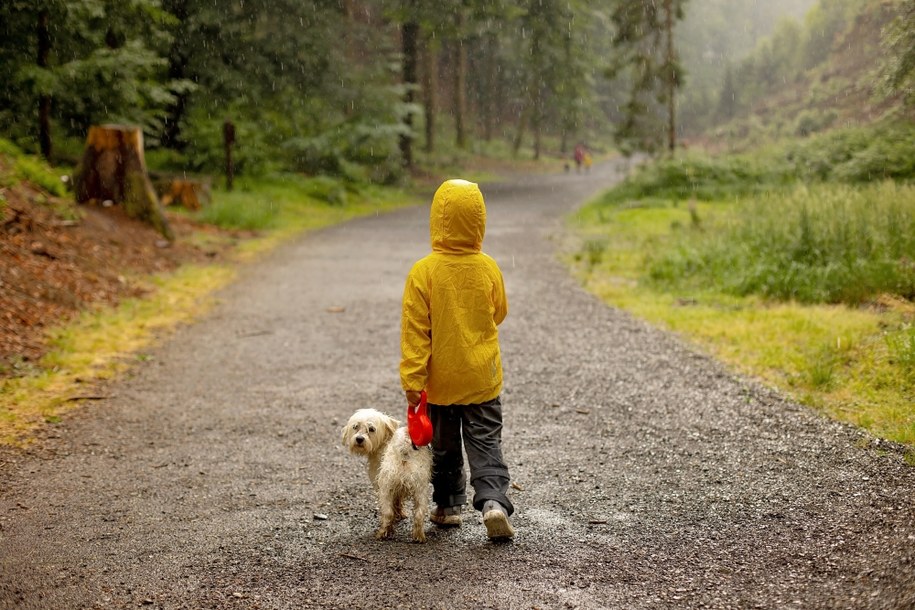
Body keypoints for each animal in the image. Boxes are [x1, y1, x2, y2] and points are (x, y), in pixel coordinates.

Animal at [342, 408, 434, 540]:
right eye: (355, 427)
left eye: (371, 429)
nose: (359, 439)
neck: (384, 444)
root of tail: (404, 449)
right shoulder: (399, 487)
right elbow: (398, 502)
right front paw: (401, 514)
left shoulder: (385, 487)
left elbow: (394, 505)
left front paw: (398, 516)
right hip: (420, 490)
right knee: (419, 514)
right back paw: (419, 536)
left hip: (386, 489)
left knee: (388, 513)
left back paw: (383, 533)